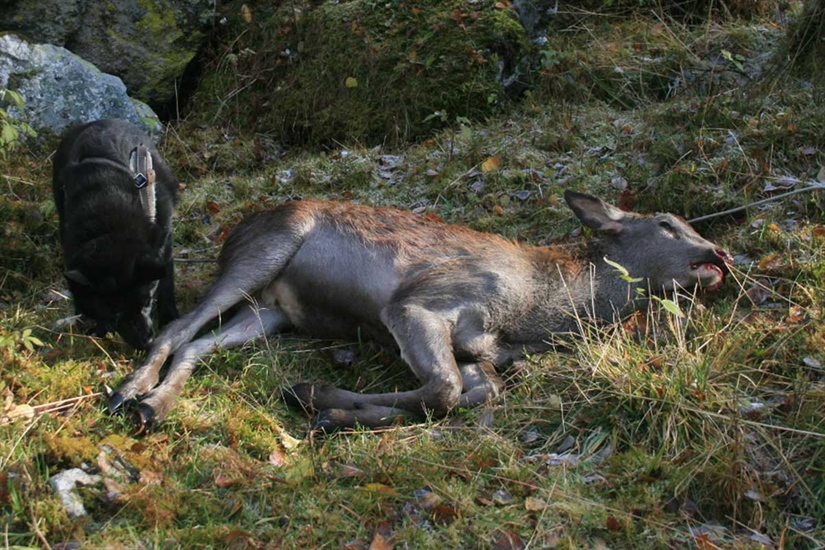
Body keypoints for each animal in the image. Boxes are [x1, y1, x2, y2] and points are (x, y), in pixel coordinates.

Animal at [53, 119, 180, 350]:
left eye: (147, 302)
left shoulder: (164, 242)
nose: (146, 343)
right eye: (116, 314)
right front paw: (99, 329)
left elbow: (166, 284)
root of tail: (98, 121)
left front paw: (170, 319)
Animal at [108, 192, 728, 434]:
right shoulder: (417, 303)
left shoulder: (479, 350)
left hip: (272, 313)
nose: (720, 255)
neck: (534, 313)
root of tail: (235, 229)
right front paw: (319, 399)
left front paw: (323, 405)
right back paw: (128, 392)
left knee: (197, 342)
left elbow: (473, 392)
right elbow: (444, 390)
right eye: (668, 224)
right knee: (176, 326)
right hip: (263, 253)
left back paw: (155, 406)